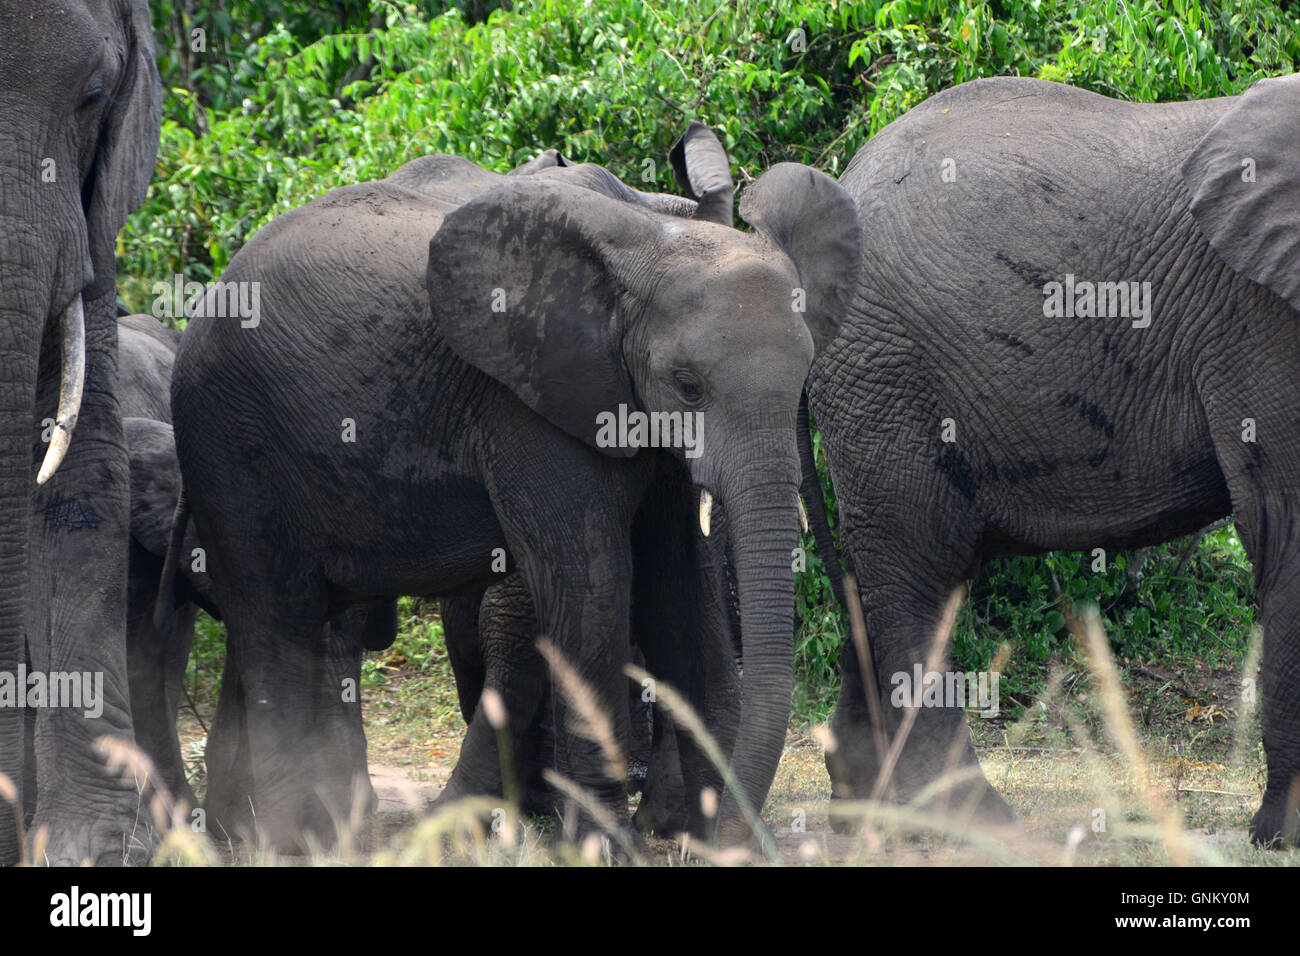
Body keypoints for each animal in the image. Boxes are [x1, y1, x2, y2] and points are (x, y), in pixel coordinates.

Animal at [170, 125, 863, 853]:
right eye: (689, 385)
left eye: (805, 373)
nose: (737, 833)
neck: (652, 236)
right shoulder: (525, 399)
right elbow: (591, 579)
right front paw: (605, 849)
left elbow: (674, 582)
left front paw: (703, 841)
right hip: (226, 434)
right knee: (272, 617)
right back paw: (291, 842)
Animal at [811, 76, 1300, 853]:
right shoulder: (1260, 316)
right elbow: (1287, 528)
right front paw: (1280, 836)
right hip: (883, 374)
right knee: (917, 573)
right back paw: (966, 822)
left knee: (887, 574)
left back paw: (866, 813)